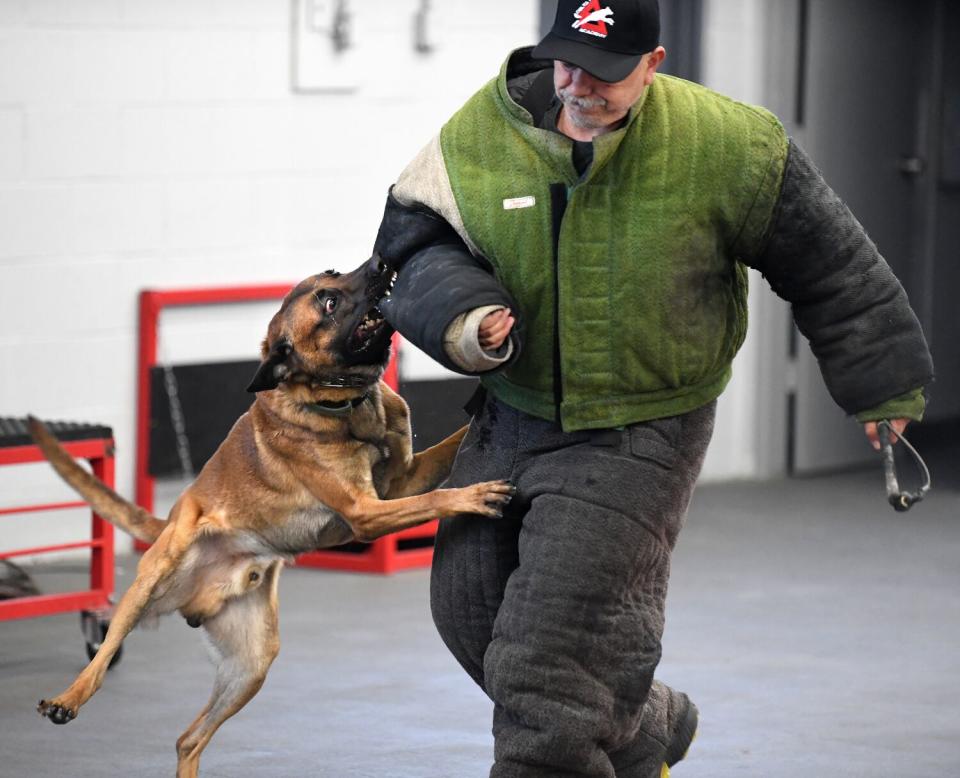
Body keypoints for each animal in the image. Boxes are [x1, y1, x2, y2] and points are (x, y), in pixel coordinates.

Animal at [28, 253, 510, 768]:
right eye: (329, 302)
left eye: (333, 274)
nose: (381, 261)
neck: (343, 403)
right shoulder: (366, 511)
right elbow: (432, 499)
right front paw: (473, 495)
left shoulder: (404, 479)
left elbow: (447, 450)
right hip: (150, 583)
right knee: (103, 657)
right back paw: (67, 699)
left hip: (252, 665)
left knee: (189, 739)